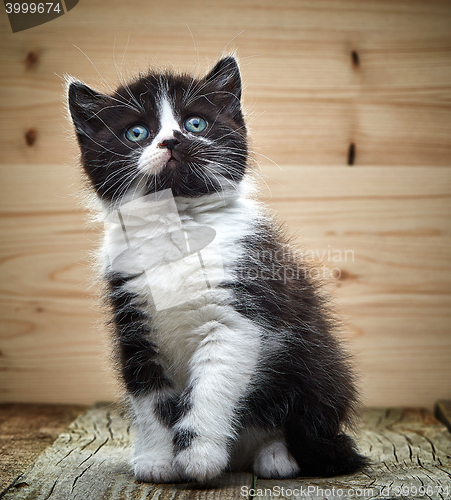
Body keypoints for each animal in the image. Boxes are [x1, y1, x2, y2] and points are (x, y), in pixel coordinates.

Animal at [69, 56, 370, 482]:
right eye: (137, 132)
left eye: (195, 123)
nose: (173, 140)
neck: (176, 226)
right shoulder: (133, 327)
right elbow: (151, 399)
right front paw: (158, 461)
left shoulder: (238, 313)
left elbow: (211, 387)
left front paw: (199, 457)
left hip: (317, 365)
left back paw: (275, 456)